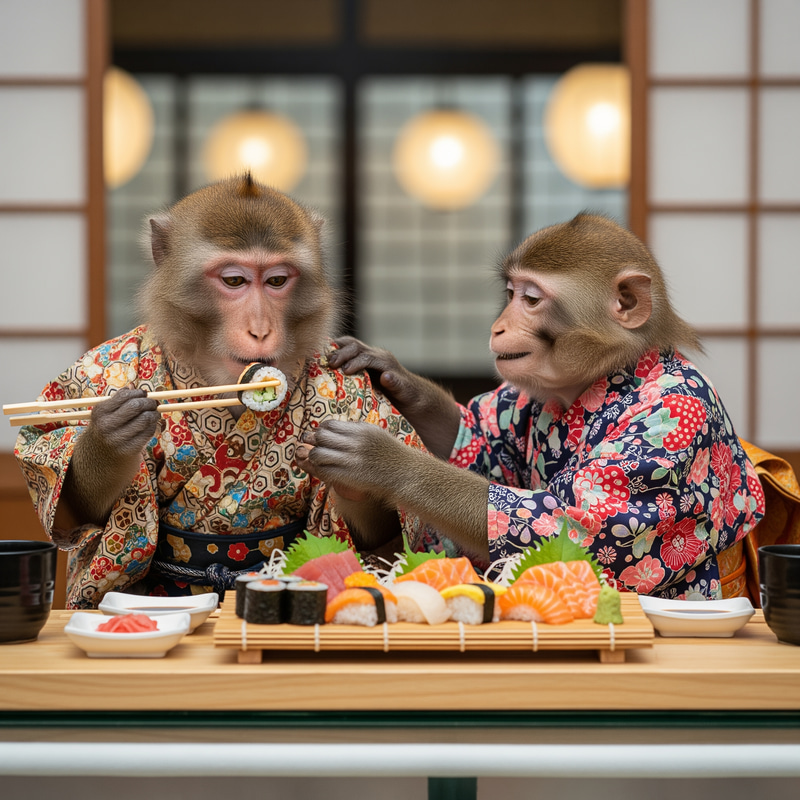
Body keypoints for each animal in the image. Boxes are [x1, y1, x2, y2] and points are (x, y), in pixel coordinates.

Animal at [14, 174, 433, 608]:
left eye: (276, 281)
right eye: (234, 281)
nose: (260, 329)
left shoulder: (352, 387)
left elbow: (372, 534)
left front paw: (358, 473)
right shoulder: (91, 375)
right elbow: (72, 491)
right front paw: (109, 438)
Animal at [296, 213, 765, 598]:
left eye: (532, 299)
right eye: (511, 292)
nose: (498, 326)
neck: (615, 372)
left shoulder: (671, 426)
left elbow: (561, 527)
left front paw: (380, 461)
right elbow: (477, 441)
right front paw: (386, 371)